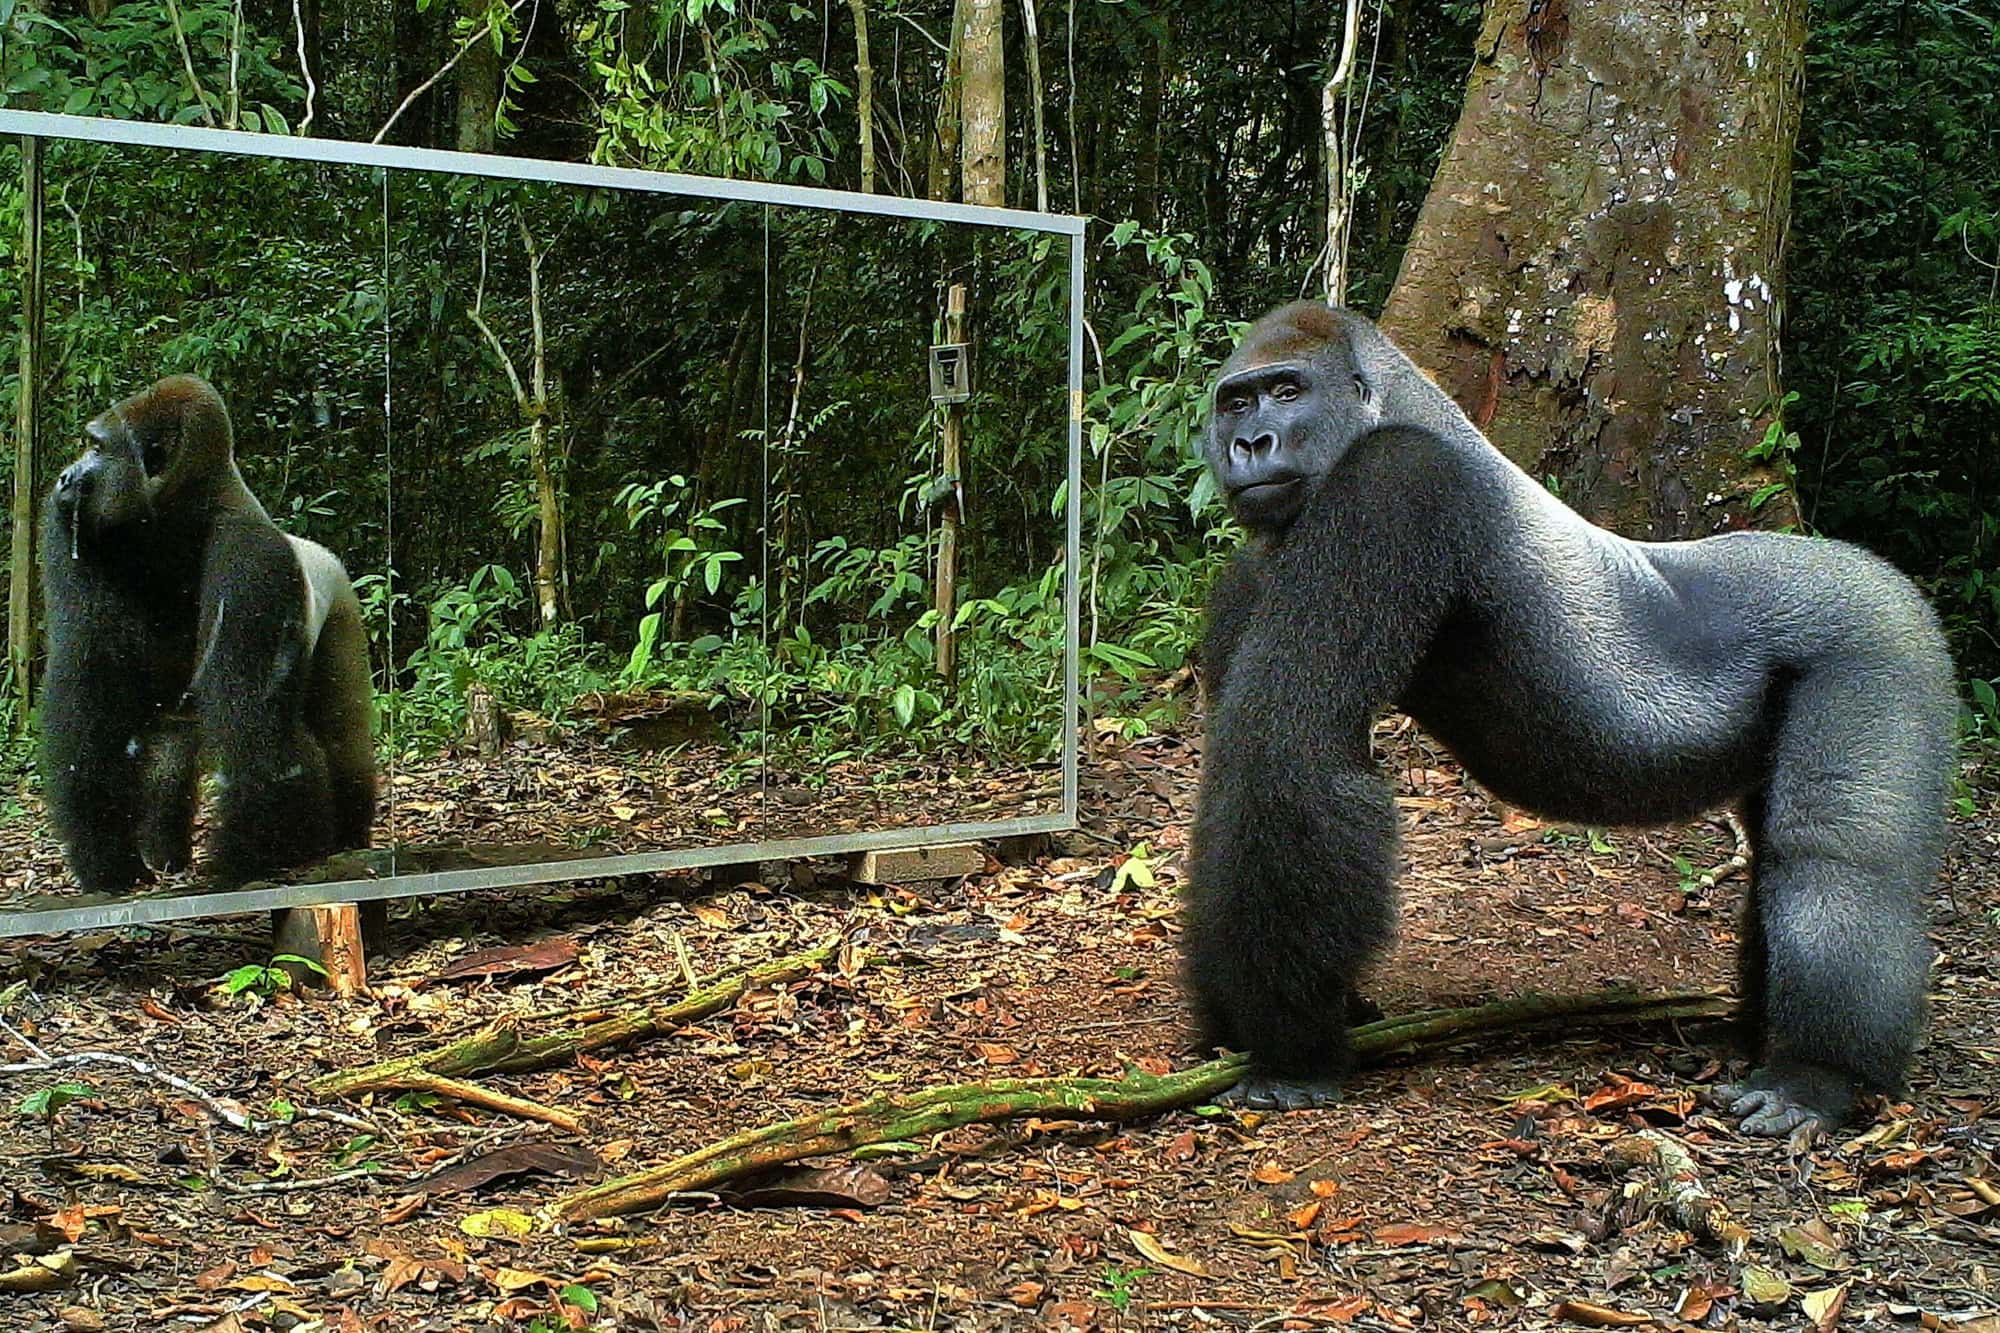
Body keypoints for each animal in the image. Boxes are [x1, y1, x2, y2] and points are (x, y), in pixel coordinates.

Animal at [39, 374, 375, 893]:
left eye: (96, 447)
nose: (64, 478)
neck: (181, 515)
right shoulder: (75, 527)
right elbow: (90, 688)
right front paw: (105, 854)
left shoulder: (250, 558)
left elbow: (253, 724)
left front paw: (243, 860)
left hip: (343, 601)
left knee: (339, 732)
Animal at [1183, 302, 1956, 1136]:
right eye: (1235, 402)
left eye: (1286, 391)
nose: (1249, 443)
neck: (1397, 406)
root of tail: (1871, 568)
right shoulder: (1259, 561)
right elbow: (1236, 782)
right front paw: (1238, 1020)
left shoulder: (1396, 480)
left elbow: (1295, 755)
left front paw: (1292, 1048)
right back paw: (1758, 1033)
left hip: (1879, 636)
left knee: (1838, 860)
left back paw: (1816, 1073)